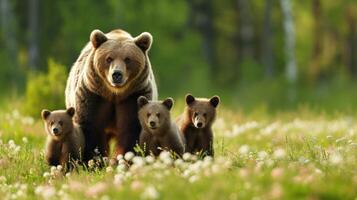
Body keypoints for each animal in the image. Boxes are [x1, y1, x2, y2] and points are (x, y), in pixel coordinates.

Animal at [65, 28, 157, 162]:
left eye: (127, 59)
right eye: (109, 58)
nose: (117, 74)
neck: (114, 93)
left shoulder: (134, 95)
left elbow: (131, 127)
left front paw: (125, 158)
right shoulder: (93, 95)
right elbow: (91, 126)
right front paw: (94, 159)